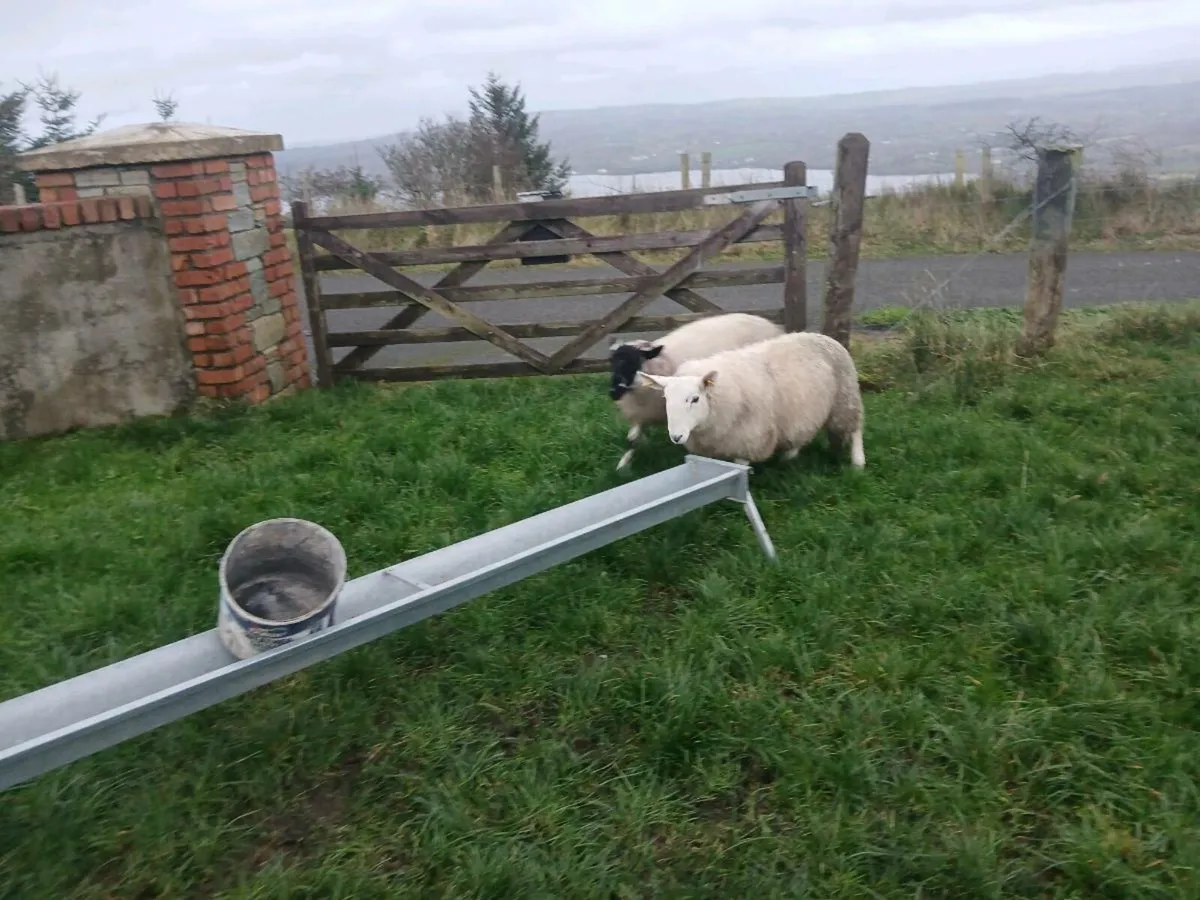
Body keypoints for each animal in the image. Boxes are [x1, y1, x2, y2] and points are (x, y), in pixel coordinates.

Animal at [607, 312, 784, 470]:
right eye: (612, 363)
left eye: (634, 362)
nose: (613, 392)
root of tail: (765, 320)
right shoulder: (642, 412)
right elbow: (632, 439)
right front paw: (623, 464)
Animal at [636, 330, 866, 469]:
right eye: (665, 398)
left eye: (694, 399)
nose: (676, 437)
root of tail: (822, 335)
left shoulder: (748, 439)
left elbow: (739, 467)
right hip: (803, 409)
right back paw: (789, 456)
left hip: (845, 398)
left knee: (855, 429)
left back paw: (858, 461)